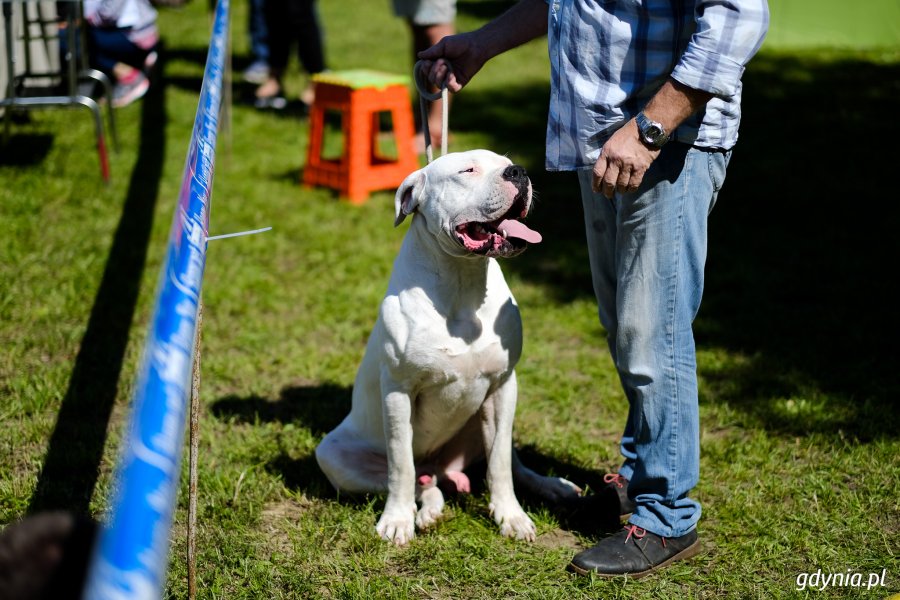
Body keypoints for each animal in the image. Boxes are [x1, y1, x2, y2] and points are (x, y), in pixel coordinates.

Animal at [316, 149, 580, 544]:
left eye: (507, 163)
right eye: (467, 170)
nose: (518, 172)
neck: (463, 280)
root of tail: (442, 468)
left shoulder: (503, 386)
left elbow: (500, 463)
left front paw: (511, 516)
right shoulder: (398, 392)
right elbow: (401, 465)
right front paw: (396, 520)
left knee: (507, 463)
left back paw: (552, 485)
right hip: (333, 454)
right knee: (421, 482)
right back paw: (425, 511)